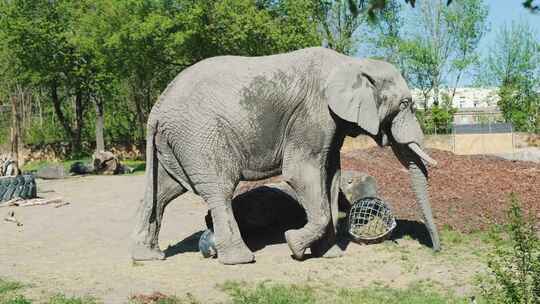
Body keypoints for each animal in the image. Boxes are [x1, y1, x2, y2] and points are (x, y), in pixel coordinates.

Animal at [131, 46, 438, 264]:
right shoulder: (312, 113)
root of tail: (157, 108)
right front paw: (294, 245)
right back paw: (240, 259)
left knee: (163, 192)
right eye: (406, 104)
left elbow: (330, 175)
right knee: (218, 189)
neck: (353, 62)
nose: (435, 248)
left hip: (175, 142)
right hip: (199, 135)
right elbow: (301, 172)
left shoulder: (330, 124)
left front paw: (328, 254)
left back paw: (148, 256)